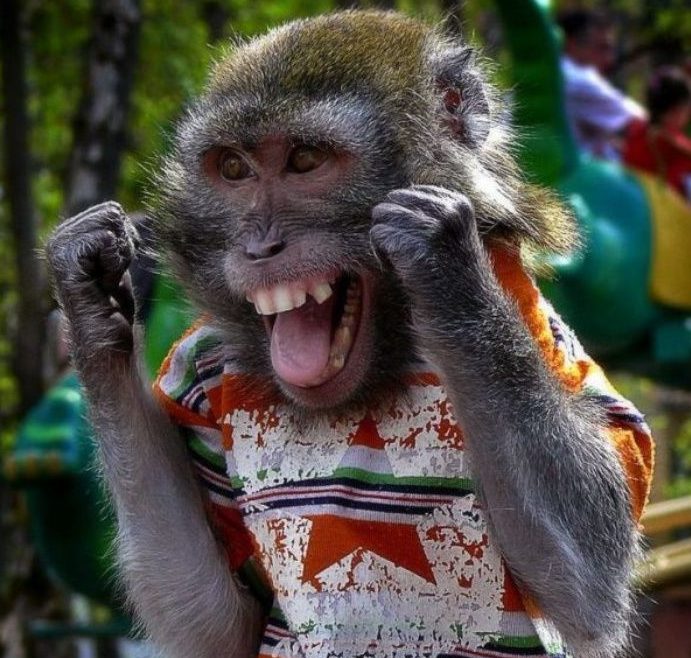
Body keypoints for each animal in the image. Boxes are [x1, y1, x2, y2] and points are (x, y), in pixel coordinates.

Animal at [45, 11, 653, 658]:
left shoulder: (535, 318)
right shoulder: (195, 368)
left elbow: (585, 580)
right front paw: (89, 303)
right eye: (233, 169)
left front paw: (442, 254)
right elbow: (213, 620)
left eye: (306, 159)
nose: (259, 247)